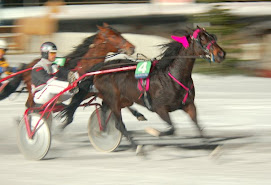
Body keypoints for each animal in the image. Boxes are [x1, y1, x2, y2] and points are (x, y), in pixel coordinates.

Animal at [0, 23, 147, 120]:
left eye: (119, 34)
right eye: (113, 36)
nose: (131, 47)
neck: (86, 67)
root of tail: (29, 65)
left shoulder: (98, 91)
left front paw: (138, 114)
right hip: (35, 92)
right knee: (31, 105)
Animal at [61, 26, 225, 149]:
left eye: (212, 36)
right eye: (202, 39)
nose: (221, 54)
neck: (173, 75)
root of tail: (101, 68)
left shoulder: (189, 105)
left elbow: (198, 126)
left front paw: (211, 148)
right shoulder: (160, 108)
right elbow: (172, 129)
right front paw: (153, 132)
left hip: (122, 99)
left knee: (105, 112)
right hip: (113, 99)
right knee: (119, 123)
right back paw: (136, 146)